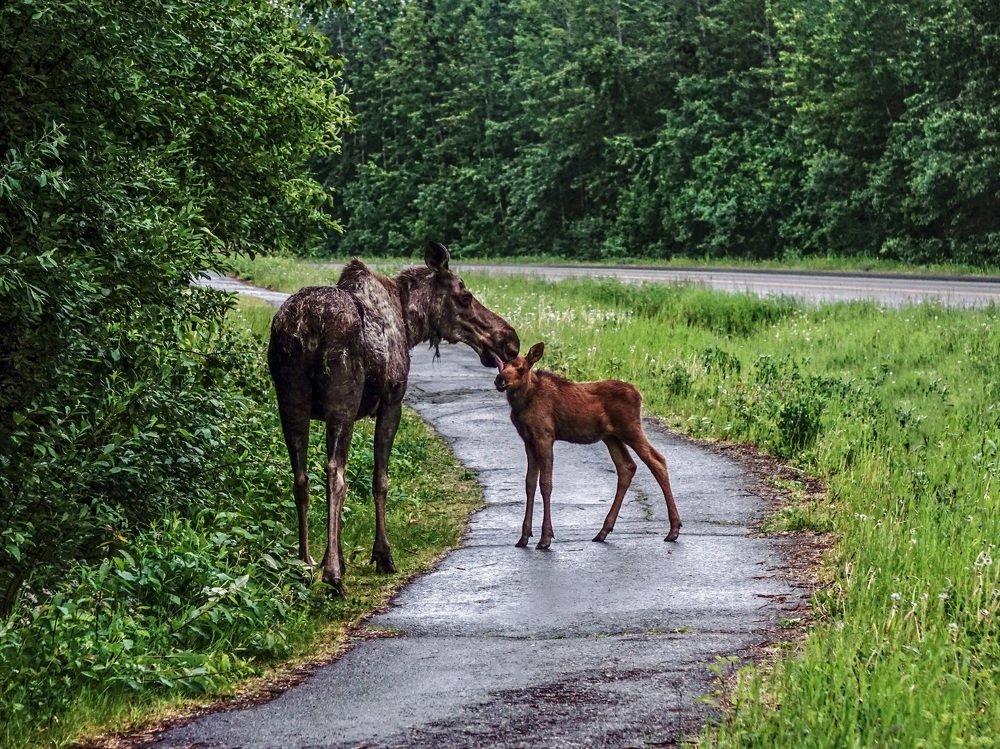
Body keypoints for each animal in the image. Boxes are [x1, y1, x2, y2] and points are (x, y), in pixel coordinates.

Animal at [268, 242, 519, 595]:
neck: (410, 323)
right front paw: (381, 555)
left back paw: (304, 564)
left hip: (290, 399)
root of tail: (304, 328)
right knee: (335, 474)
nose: (510, 340)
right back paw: (332, 575)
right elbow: (380, 479)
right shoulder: (392, 402)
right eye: (465, 295)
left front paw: (342, 556)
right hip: (341, 401)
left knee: (301, 477)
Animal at [494, 342, 681, 550]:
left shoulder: (545, 436)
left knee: (657, 460)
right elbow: (529, 483)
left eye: (521, 368)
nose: (500, 380)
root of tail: (639, 395)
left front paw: (545, 538)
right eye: (502, 365)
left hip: (630, 428)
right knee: (627, 467)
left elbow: (546, 483)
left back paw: (674, 529)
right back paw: (603, 531)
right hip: (611, 437)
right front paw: (524, 536)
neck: (523, 403)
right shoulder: (528, 439)